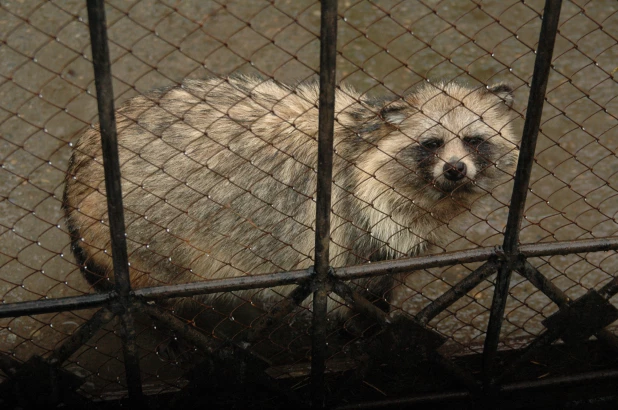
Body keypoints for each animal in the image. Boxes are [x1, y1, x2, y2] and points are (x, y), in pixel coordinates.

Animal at [62, 76, 516, 320]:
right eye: (431, 144)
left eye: (474, 140)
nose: (455, 169)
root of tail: (80, 159)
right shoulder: (351, 233)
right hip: (145, 247)